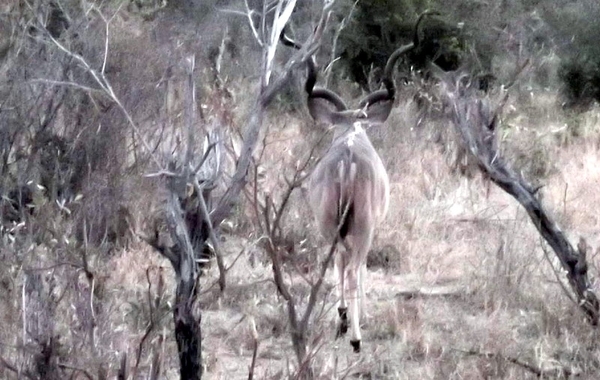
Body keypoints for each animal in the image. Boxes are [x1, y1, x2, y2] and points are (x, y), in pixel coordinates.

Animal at [284, 12, 438, 354]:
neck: (351, 133)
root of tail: (347, 162)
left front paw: (341, 317)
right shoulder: (368, 229)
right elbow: (361, 267)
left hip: (329, 227)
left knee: (336, 263)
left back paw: (342, 320)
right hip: (362, 228)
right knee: (354, 268)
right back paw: (355, 338)